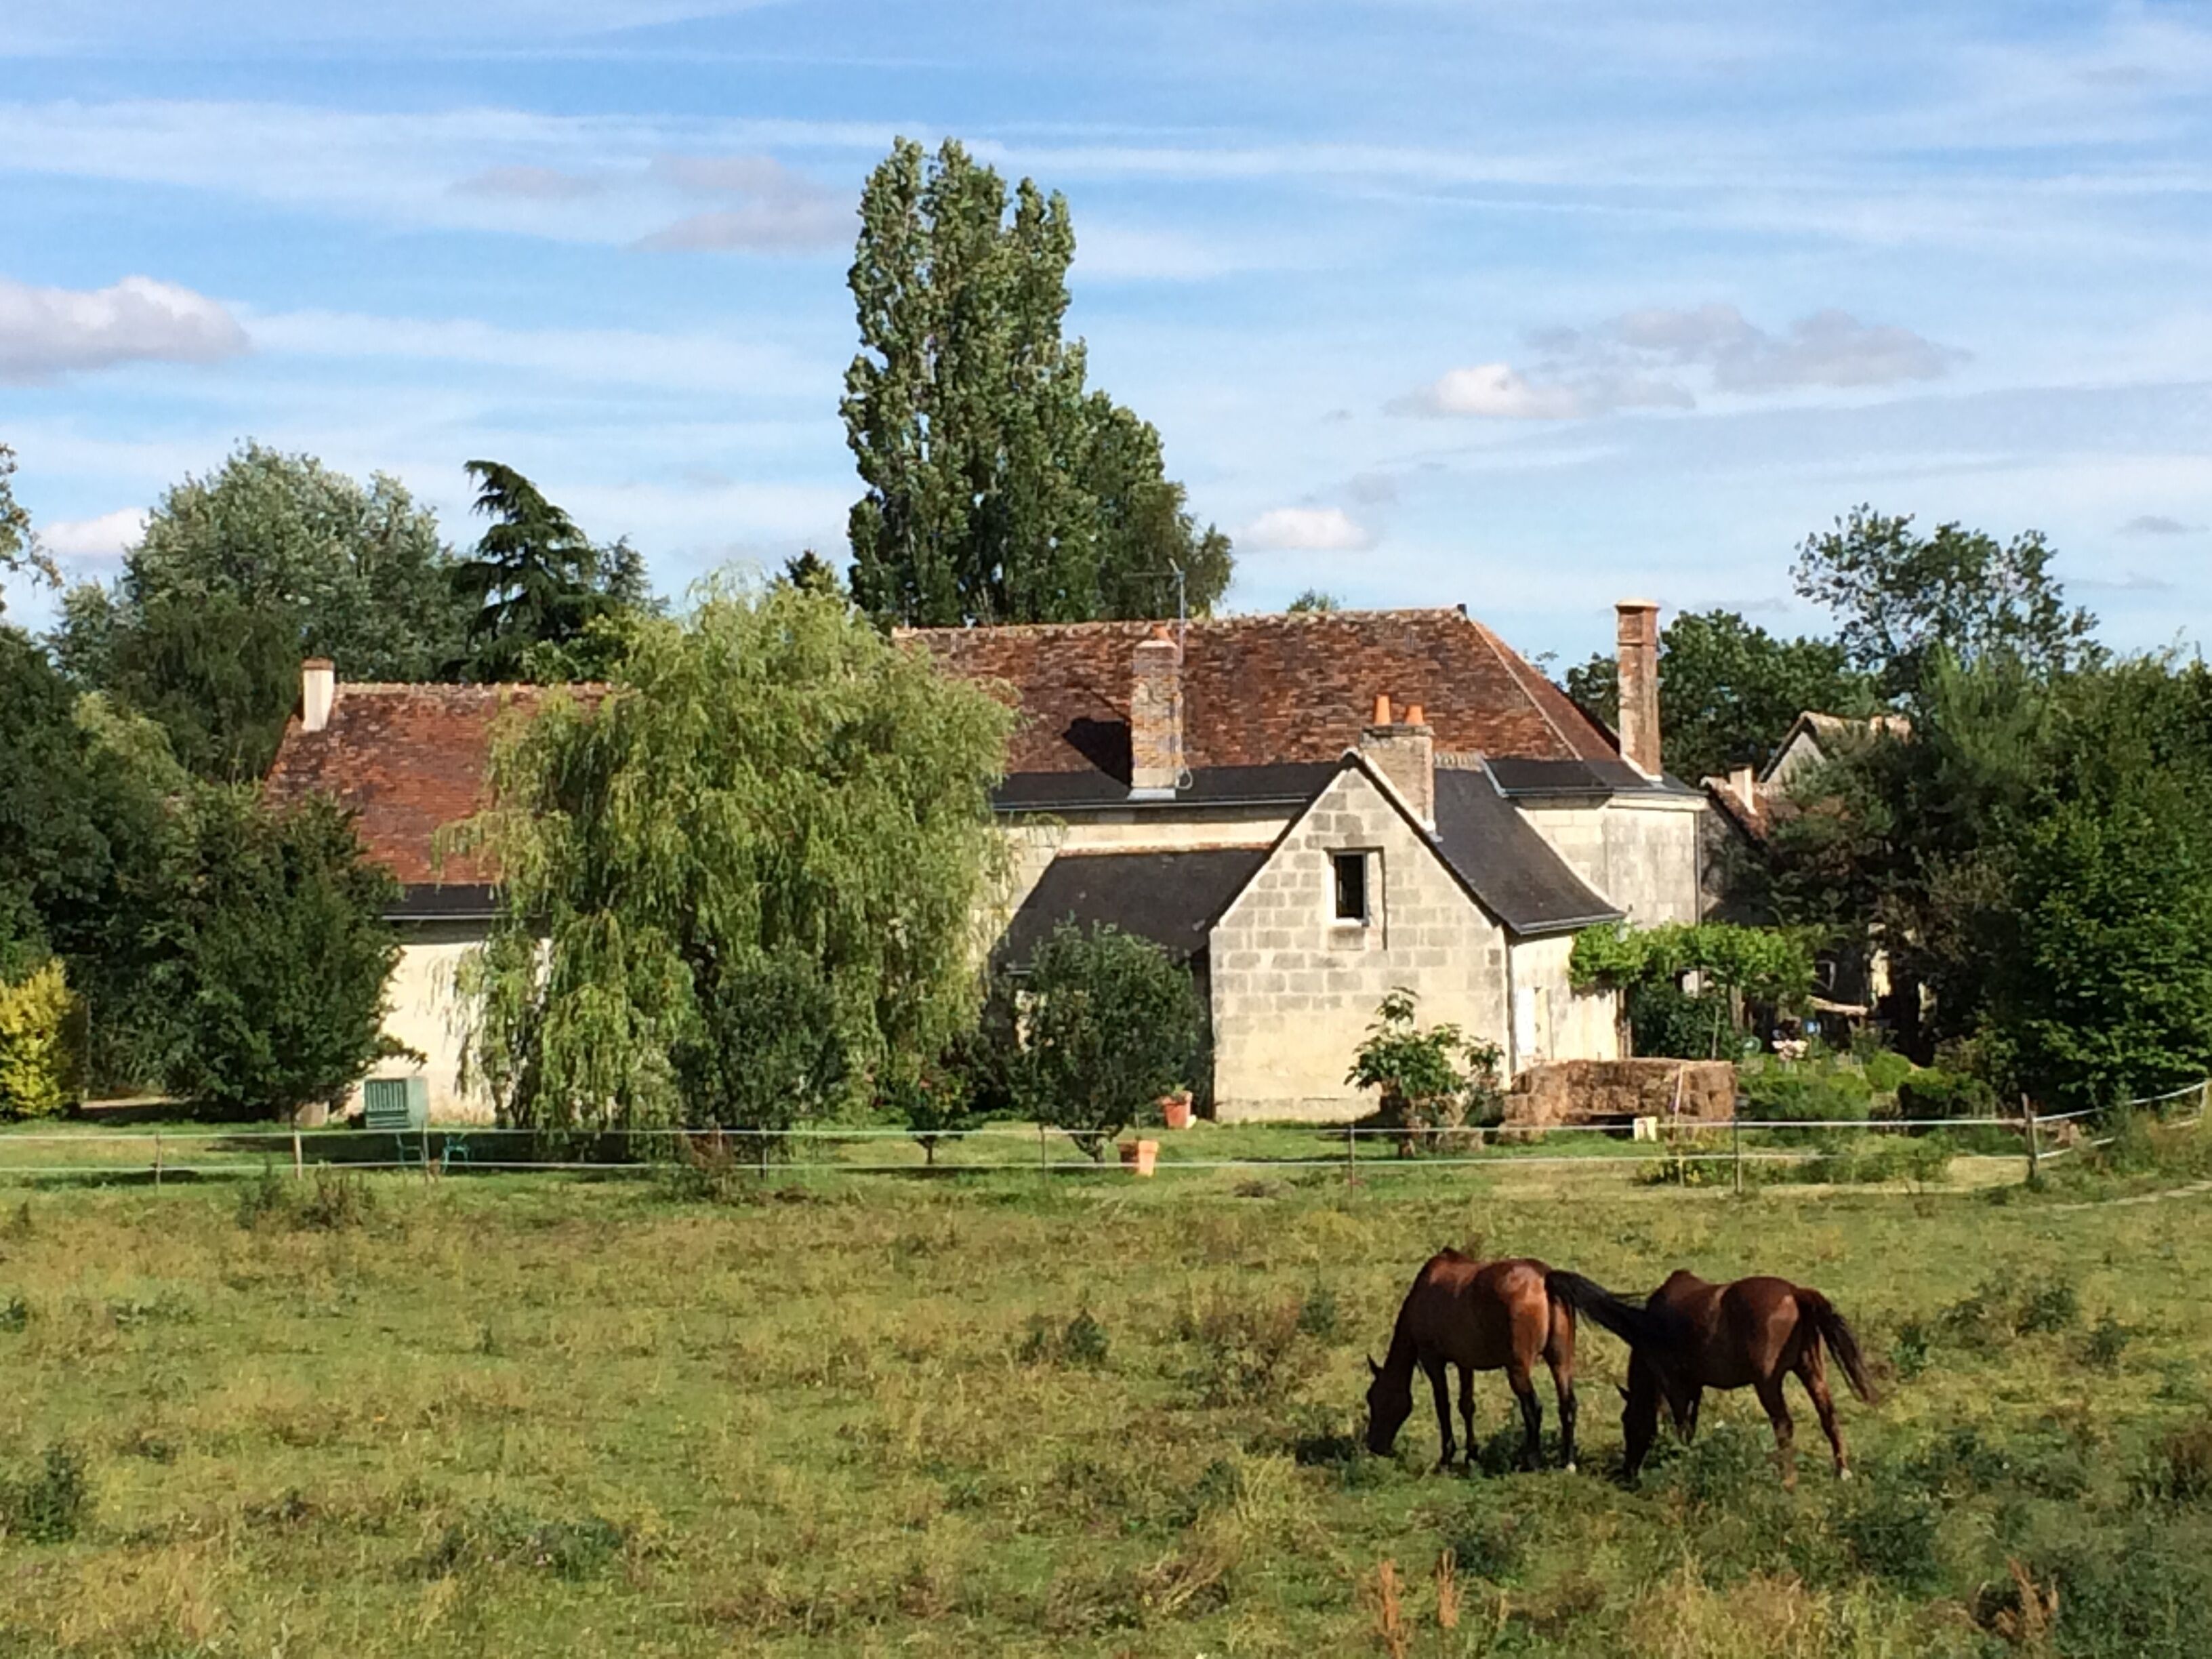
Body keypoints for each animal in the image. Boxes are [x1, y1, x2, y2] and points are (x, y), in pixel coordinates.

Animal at [1364, 1251, 1579, 1471]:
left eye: (1374, 1398)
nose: (1374, 1445)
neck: (1422, 1295)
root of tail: (1544, 1277)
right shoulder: (1465, 1363)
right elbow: (1467, 1405)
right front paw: (1472, 1455)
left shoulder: (1433, 1361)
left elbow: (1443, 1406)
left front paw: (1447, 1457)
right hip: (1560, 1361)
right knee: (1568, 1404)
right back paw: (1568, 1462)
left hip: (1518, 1369)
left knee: (1533, 1408)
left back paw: (1532, 1461)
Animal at [1548, 1268, 1877, 1485]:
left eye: (1627, 1421)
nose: (1628, 1472)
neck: (1650, 1325)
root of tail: (1795, 1294)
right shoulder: (1695, 1386)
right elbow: (1690, 1424)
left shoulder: (1676, 1384)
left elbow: (1681, 1424)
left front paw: (1682, 1462)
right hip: (1811, 1371)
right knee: (1828, 1415)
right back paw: (1842, 1471)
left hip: (1768, 1383)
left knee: (1784, 1425)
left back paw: (1788, 1479)